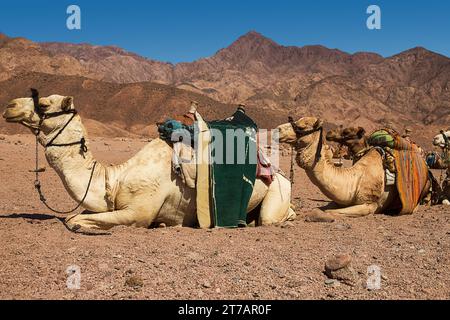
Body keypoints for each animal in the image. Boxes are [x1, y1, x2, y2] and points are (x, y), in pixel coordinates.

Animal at [3, 94, 296, 231]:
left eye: (42, 104)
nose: (9, 105)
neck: (115, 179)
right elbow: (77, 215)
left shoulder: (138, 212)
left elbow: (74, 219)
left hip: (277, 189)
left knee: (270, 218)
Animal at [276, 117, 430, 218]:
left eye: (301, 127)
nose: (278, 129)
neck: (355, 179)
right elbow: (323, 207)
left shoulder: (370, 205)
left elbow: (328, 211)